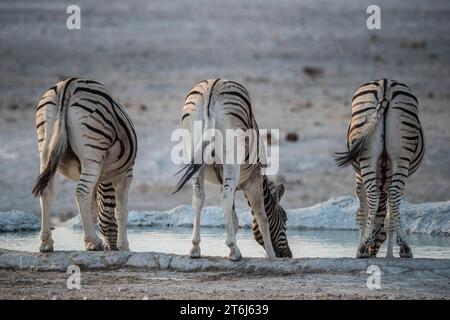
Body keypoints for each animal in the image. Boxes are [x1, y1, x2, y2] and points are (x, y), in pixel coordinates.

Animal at [32, 78, 136, 252]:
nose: (111, 248)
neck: (105, 178)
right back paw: (95, 241)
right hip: (92, 152)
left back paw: (46, 242)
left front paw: (89, 243)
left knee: (46, 190)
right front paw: (123, 246)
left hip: (45, 148)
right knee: (81, 193)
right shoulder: (125, 175)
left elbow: (93, 209)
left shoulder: (98, 179)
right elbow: (120, 210)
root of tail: (68, 84)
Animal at [172, 79, 292, 260]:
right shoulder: (254, 181)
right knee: (225, 197)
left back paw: (195, 249)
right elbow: (262, 217)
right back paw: (235, 251)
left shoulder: (225, 181)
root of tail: (212, 87)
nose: (288, 255)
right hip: (232, 159)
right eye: (284, 219)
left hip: (194, 156)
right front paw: (270, 255)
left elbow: (233, 219)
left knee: (199, 197)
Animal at [334, 79, 426, 258]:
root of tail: (385, 84)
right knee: (389, 195)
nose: (372, 252)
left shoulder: (363, 175)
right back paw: (400, 248)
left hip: (373, 154)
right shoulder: (363, 175)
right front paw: (389, 251)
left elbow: (368, 210)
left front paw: (366, 246)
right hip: (397, 156)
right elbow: (376, 212)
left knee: (376, 195)